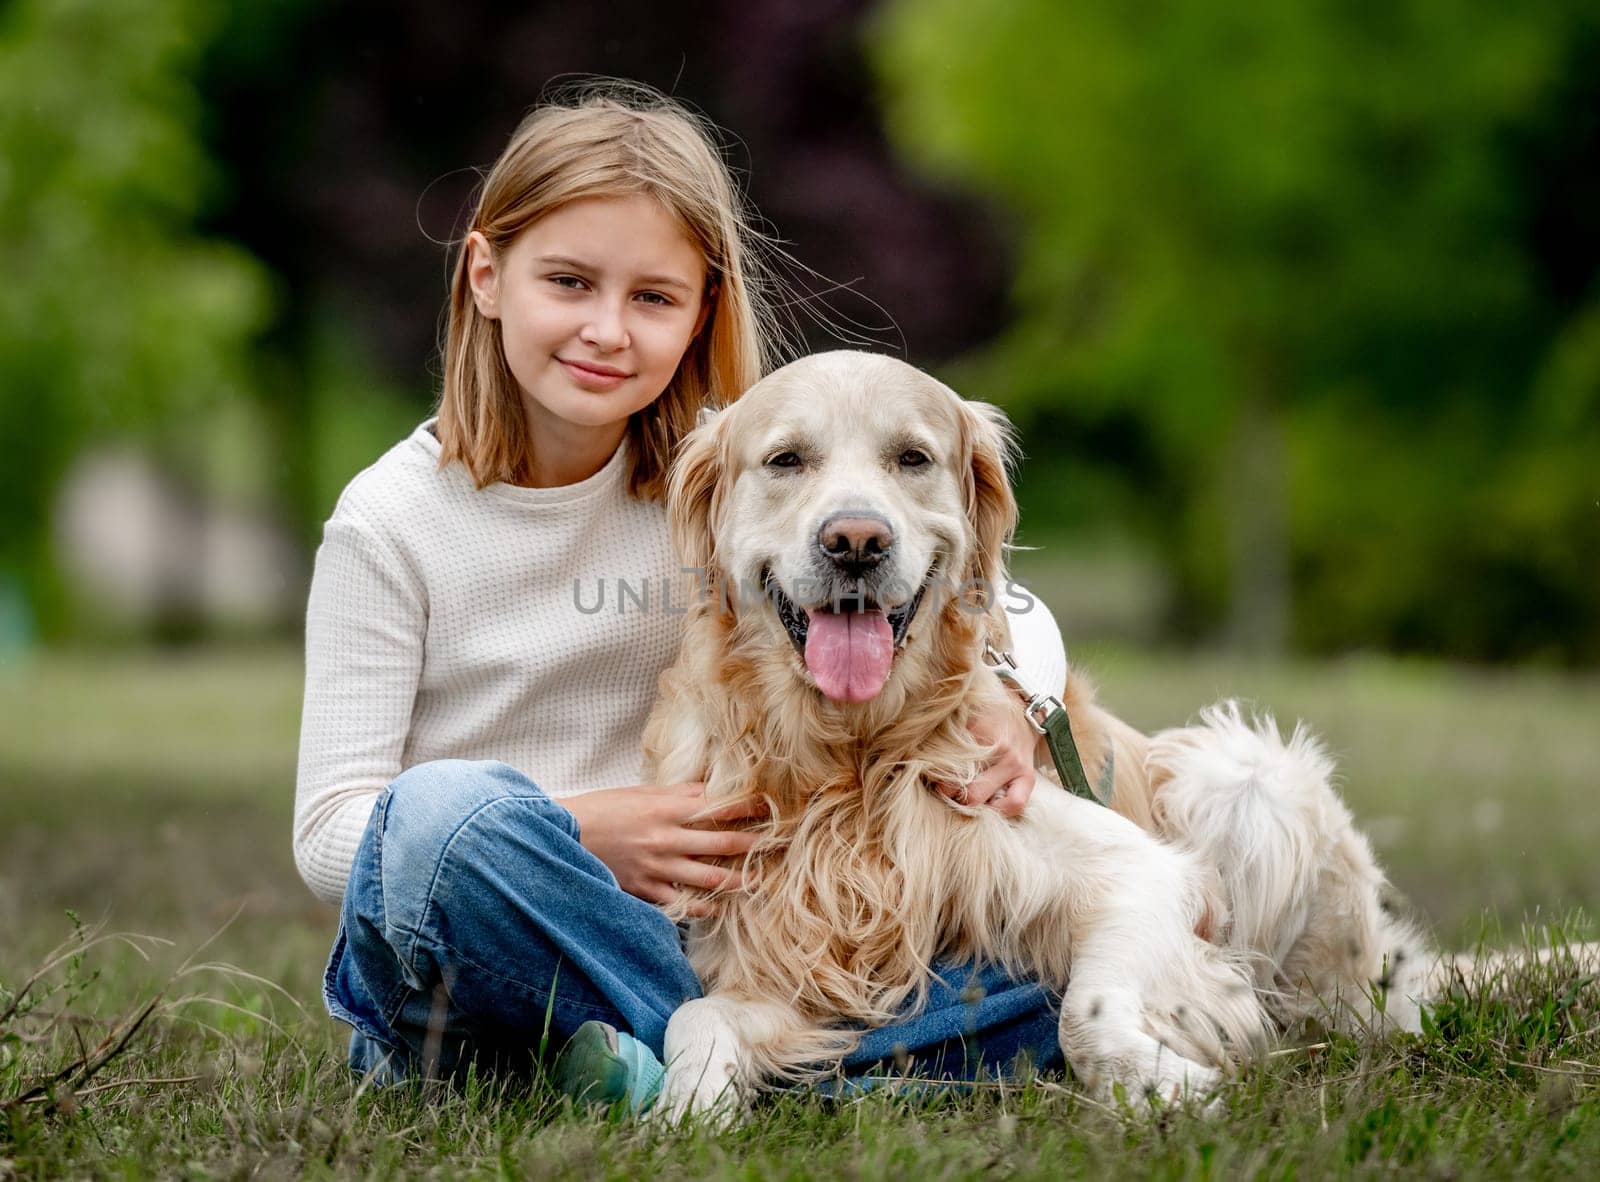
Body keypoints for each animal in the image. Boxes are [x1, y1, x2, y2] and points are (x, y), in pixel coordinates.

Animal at [643, 348, 1433, 1119]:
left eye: (912, 458)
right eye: (786, 460)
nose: (856, 541)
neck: (850, 758)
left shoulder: (1141, 869)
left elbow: (1085, 1011)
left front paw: (1166, 1087)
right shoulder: (778, 953)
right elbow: (696, 1016)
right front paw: (687, 1113)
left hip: (1239, 773)